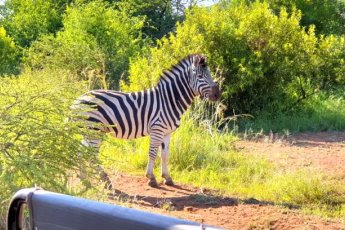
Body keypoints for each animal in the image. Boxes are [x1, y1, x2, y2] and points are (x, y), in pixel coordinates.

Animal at [74, 54, 220, 188]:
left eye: (210, 74)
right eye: (200, 76)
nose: (218, 94)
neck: (169, 100)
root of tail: (78, 99)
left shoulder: (167, 132)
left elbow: (165, 155)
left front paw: (167, 178)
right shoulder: (157, 129)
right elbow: (153, 153)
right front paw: (151, 178)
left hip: (89, 132)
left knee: (82, 152)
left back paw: (84, 179)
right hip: (94, 131)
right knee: (91, 155)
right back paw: (104, 180)